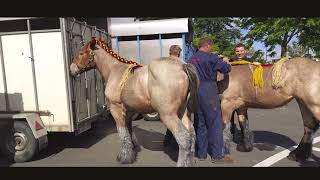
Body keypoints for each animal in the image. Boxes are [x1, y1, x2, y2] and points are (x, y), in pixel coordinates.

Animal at [70, 37, 199, 167]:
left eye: (81, 53)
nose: (71, 69)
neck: (114, 70)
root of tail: (182, 67)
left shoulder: (115, 109)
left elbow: (122, 133)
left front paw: (124, 157)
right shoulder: (129, 110)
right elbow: (129, 129)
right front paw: (132, 150)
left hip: (168, 115)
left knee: (184, 138)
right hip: (182, 112)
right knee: (192, 135)